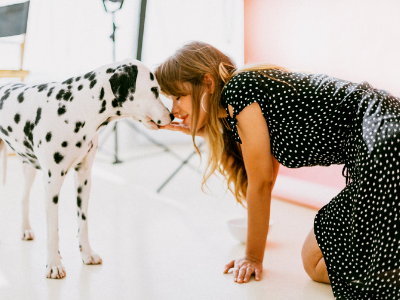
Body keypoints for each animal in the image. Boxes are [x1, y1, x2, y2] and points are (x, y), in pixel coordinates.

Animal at [0, 58, 172, 278]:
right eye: (154, 90)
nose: (172, 115)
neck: (76, 108)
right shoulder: (52, 183)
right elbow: (53, 230)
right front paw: (54, 264)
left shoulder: (83, 178)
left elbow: (83, 223)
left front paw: (87, 254)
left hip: (29, 166)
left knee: (23, 198)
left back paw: (25, 229)